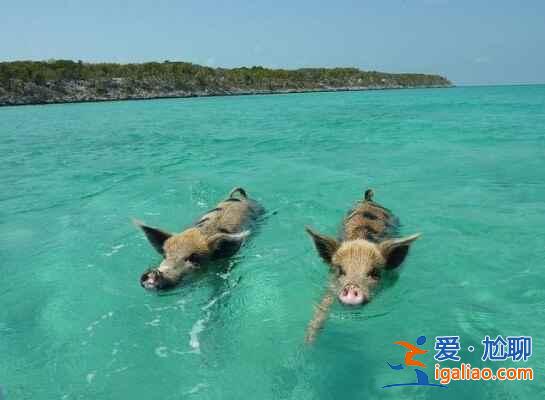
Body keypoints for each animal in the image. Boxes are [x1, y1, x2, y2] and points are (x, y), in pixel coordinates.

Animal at [304, 189, 420, 343]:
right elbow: (323, 305)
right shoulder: (331, 284)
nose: (352, 287)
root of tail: (368, 200)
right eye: (340, 271)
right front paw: (308, 341)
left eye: (375, 273)